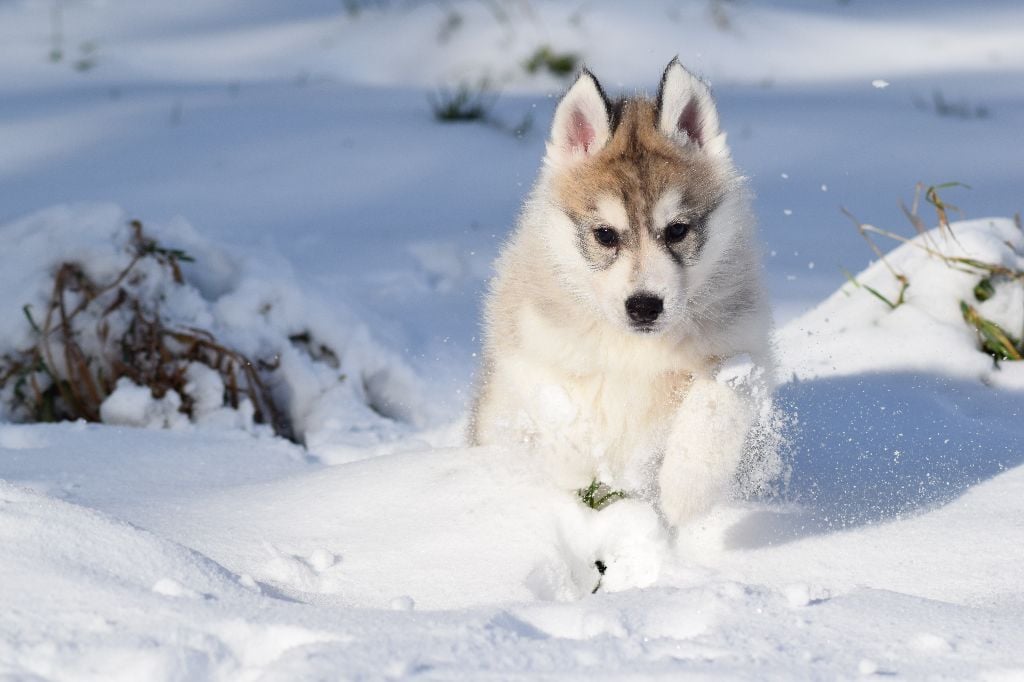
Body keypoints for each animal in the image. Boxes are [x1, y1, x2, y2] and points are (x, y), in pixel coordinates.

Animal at [468, 59, 770, 524]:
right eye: (605, 235)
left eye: (677, 230)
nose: (644, 306)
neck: (635, 348)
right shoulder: (528, 343)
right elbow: (558, 405)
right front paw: (576, 467)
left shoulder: (744, 351)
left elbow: (714, 403)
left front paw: (685, 489)